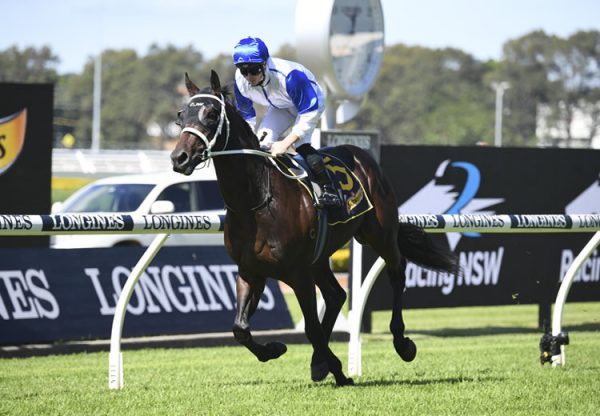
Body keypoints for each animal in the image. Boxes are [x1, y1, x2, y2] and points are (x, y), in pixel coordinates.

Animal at [169, 71, 454, 386]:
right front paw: (277, 350)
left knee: (396, 271)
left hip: (379, 234)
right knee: (336, 294)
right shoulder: (251, 271)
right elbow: (240, 328)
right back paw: (319, 363)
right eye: (181, 115)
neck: (257, 201)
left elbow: (311, 329)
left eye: (211, 114)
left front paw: (338, 369)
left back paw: (402, 343)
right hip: (320, 257)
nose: (179, 158)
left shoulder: (297, 274)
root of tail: (363, 155)